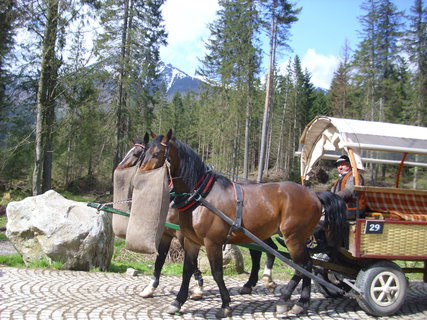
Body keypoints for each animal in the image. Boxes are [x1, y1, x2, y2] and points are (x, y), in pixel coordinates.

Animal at [139, 130, 350, 318]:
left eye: (156, 154)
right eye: (144, 154)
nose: (140, 179)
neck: (200, 195)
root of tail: (314, 194)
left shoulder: (212, 242)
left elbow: (217, 273)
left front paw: (225, 304)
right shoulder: (191, 241)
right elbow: (187, 271)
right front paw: (177, 302)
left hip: (293, 238)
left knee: (302, 265)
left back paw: (284, 300)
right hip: (293, 238)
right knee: (306, 266)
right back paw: (301, 303)